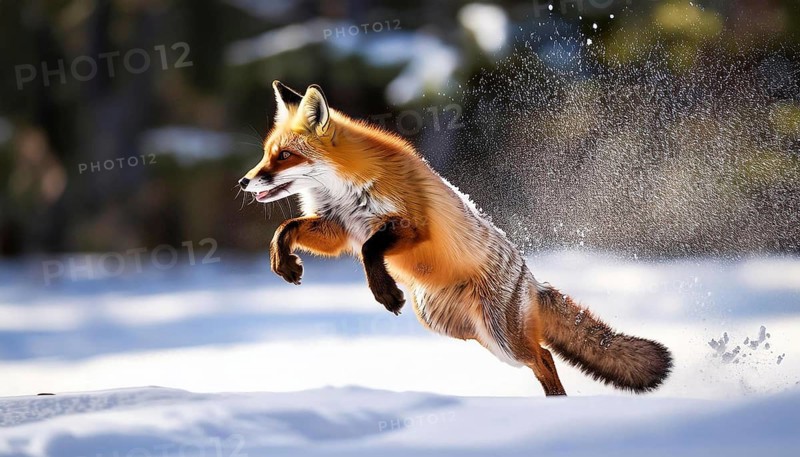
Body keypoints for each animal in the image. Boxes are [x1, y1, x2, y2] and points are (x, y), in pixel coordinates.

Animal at [239, 81, 673, 396]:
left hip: (501, 336)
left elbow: (370, 248)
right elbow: (286, 229)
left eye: (284, 156)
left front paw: (384, 291)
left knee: (545, 357)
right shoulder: (337, 228)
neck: (345, 192)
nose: (244, 181)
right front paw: (284, 264)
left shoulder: (411, 226)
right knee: (542, 354)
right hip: (456, 328)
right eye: (266, 154)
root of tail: (531, 279)